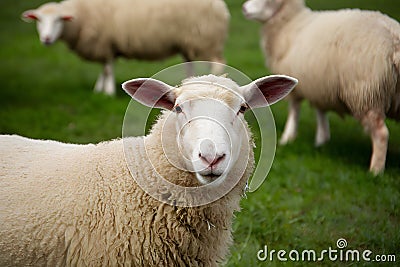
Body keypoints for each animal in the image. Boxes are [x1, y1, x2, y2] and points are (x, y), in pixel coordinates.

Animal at [21, 0, 230, 96]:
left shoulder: (105, 42)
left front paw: (108, 93)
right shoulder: (107, 45)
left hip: (206, 40)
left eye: (58, 20)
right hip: (190, 42)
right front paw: (99, 89)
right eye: (39, 20)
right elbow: (104, 69)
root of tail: (220, 6)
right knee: (189, 64)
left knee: (218, 65)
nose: (46, 39)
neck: (80, 18)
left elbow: (107, 68)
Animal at [242, 0, 400, 176]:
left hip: (365, 94)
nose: (244, 8)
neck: (290, 22)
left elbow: (294, 109)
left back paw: (375, 171)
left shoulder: (298, 85)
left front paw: (287, 138)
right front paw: (321, 140)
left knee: (381, 134)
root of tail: (394, 40)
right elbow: (320, 110)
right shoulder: (319, 85)